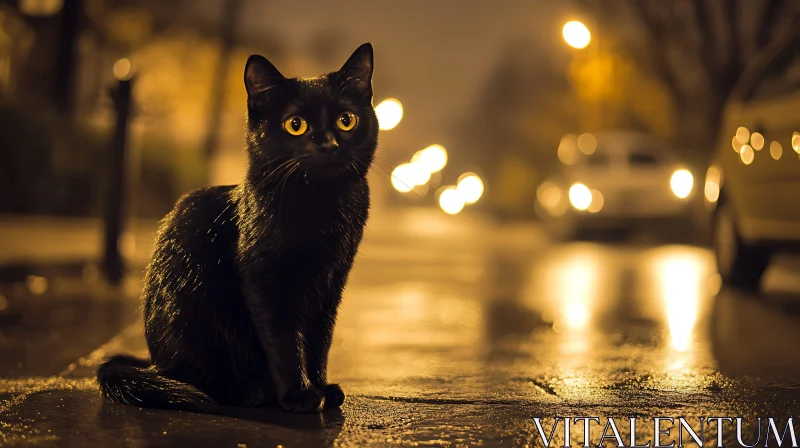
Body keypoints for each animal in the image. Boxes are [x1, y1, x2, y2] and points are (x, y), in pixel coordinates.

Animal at [96, 43, 378, 412]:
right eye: (296, 125)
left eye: (346, 120)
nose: (329, 144)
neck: (323, 203)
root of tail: (153, 364)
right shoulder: (266, 281)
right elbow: (285, 342)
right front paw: (298, 394)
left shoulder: (333, 282)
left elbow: (319, 340)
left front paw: (320, 386)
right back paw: (248, 391)